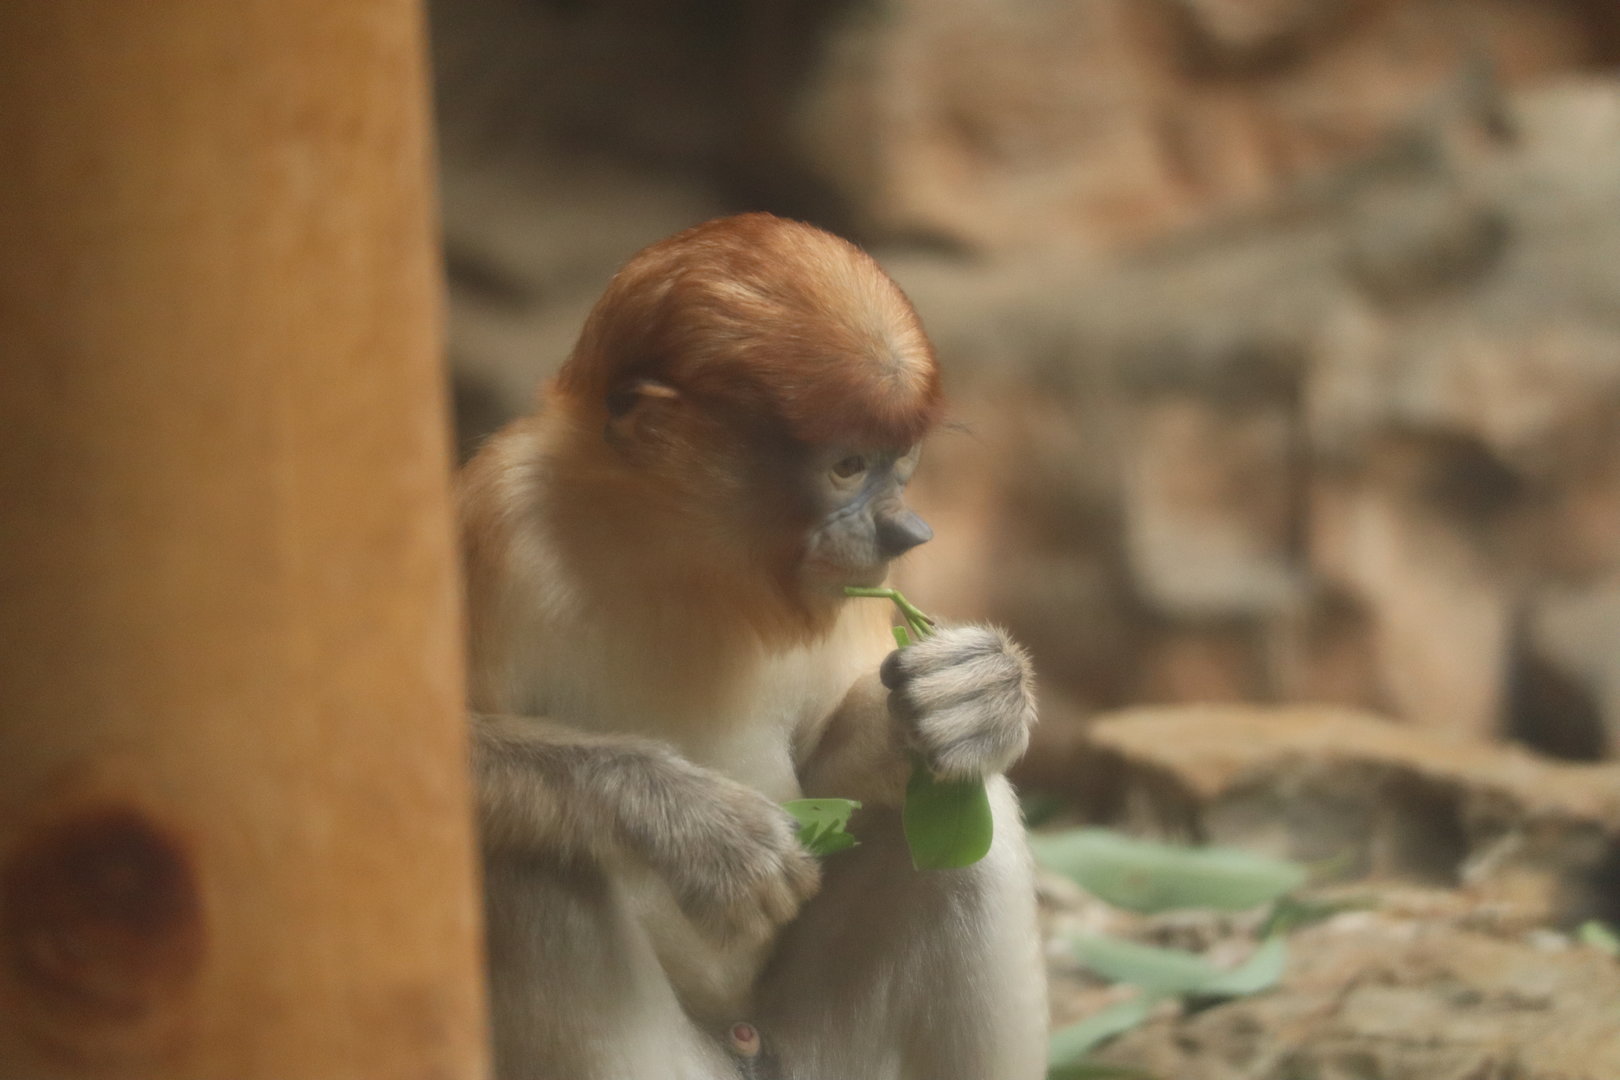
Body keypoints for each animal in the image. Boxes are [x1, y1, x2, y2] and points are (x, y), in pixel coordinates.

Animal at [459, 212, 1047, 1080]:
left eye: (901, 461)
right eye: (847, 467)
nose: (907, 532)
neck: (674, 544)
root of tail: (745, 1043)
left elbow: (831, 771)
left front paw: (975, 692)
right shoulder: (499, 518)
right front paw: (699, 829)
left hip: (819, 1052)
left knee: (964, 810)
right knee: (534, 861)